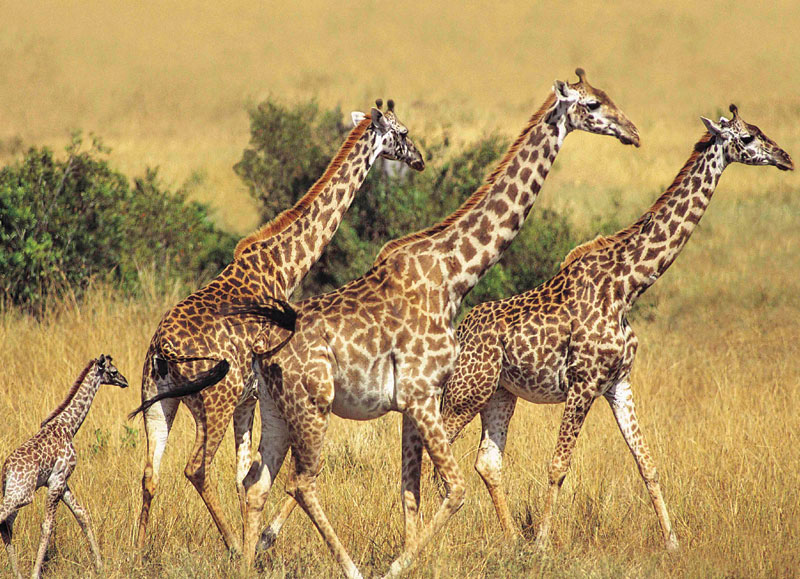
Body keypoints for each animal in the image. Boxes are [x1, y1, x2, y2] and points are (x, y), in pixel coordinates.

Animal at [0, 355, 128, 579]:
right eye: (113, 371)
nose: (124, 381)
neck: (69, 425)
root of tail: (6, 469)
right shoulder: (57, 481)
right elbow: (47, 526)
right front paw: (36, 573)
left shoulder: (63, 481)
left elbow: (82, 514)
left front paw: (100, 565)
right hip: (22, 494)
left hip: (14, 493)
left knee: (6, 525)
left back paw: (17, 573)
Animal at [130, 100, 425, 554]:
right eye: (404, 133)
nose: (420, 160)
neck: (284, 266)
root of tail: (164, 348)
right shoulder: (270, 394)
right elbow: (284, 474)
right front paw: (259, 540)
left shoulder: (249, 401)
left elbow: (244, 475)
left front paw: (255, 537)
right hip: (213, 401)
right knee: (195, 468)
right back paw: (232, 544)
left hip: (158, 400)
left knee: (151, 472)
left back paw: (140, 550)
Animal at [233, 69, 640, 576]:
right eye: (592, 104)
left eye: (607, 96)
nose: (632, 132)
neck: (454, 275)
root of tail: (262, 353)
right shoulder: (423, 395)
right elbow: (456, 489)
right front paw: (397, 566)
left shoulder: (412, 403)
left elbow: (411, 489)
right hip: (313, 405)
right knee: (301, 482)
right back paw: (350, 568)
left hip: (274, 409)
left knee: (257, 484)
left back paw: (245, 563)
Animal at [432, 104, 793, 551]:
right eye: (746, 138)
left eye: (760, 131)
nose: (784, 157)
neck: (627, 285)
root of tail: (460, 331)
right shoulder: (583, 382)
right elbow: (558, 464)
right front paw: (542, 545)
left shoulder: (618, 382)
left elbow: (647, 462)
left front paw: (672, 543)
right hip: (467, 391)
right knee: (438, 450)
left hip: (500, 393)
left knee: (487, 461)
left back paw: (510, 539)